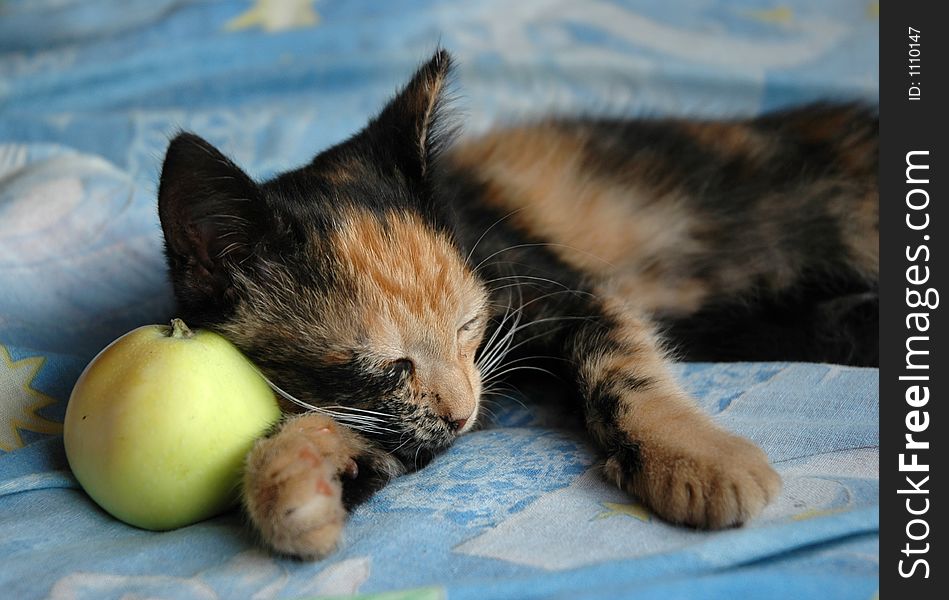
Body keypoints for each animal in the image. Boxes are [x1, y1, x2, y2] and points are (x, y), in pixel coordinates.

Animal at [157, 48, 880, 556]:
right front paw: (291, 483)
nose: (463, 411)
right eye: (389, 366)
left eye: (468, 326)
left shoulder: (564, 287)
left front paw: (699, 463)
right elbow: (368, 434)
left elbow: (624, 368)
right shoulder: (408, 423)